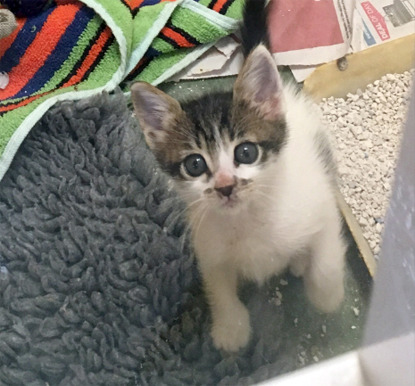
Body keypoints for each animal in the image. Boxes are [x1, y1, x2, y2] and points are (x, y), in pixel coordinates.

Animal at [132, 0, 346, 352]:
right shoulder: (209, 246)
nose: (225, 186)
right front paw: (231, 329)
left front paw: (326, 295)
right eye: (194, 165)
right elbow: (218, 286)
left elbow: (326, 257)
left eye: (245, 153)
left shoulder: (320, 205)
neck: (249, 219)